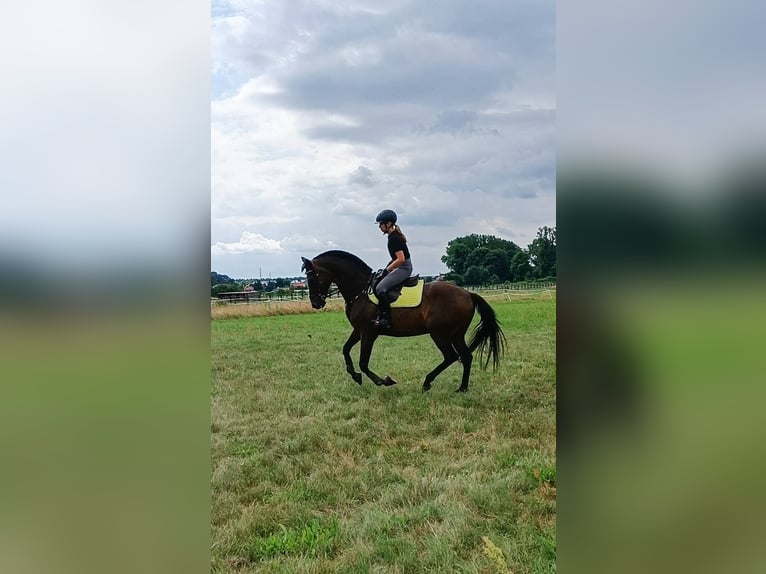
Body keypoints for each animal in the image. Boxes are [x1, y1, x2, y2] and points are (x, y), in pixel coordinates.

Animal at [301, 250, 506, 392]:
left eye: (312, 277)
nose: (316, 303)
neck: (361, 290)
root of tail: (468, 294)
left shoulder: (369, 333)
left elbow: (363, 363)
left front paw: (384, 381)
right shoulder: (359, 331)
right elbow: (345, 350)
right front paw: (356, 376)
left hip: (439, 333)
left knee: (451, 356)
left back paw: (428, 382)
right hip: (455, 334)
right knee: (465, 356)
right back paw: (462, 388)